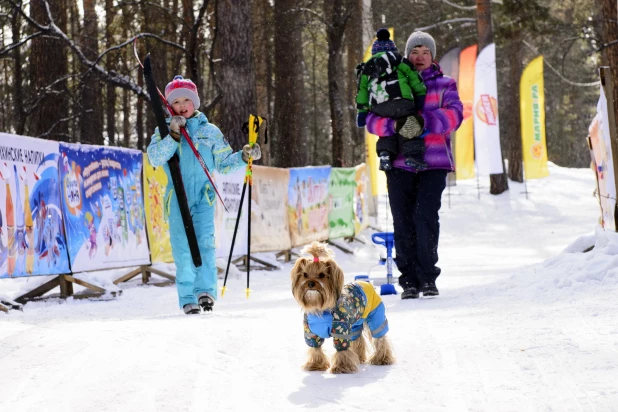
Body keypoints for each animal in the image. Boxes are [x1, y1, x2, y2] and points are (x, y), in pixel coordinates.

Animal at [290, 241, 394, 374]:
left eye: (322, 275)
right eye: (305, 274)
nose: (311, 283)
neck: (320, 309)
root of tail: (365, 282)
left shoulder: (341, 328)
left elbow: (342, 348)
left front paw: (342, 367)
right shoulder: (311, 332)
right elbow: (316, 348)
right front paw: (315, 364)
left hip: (375, 316)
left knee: (380, 337)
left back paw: (382, 359)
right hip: (355, 324)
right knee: (358, 338)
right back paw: (359, 357)